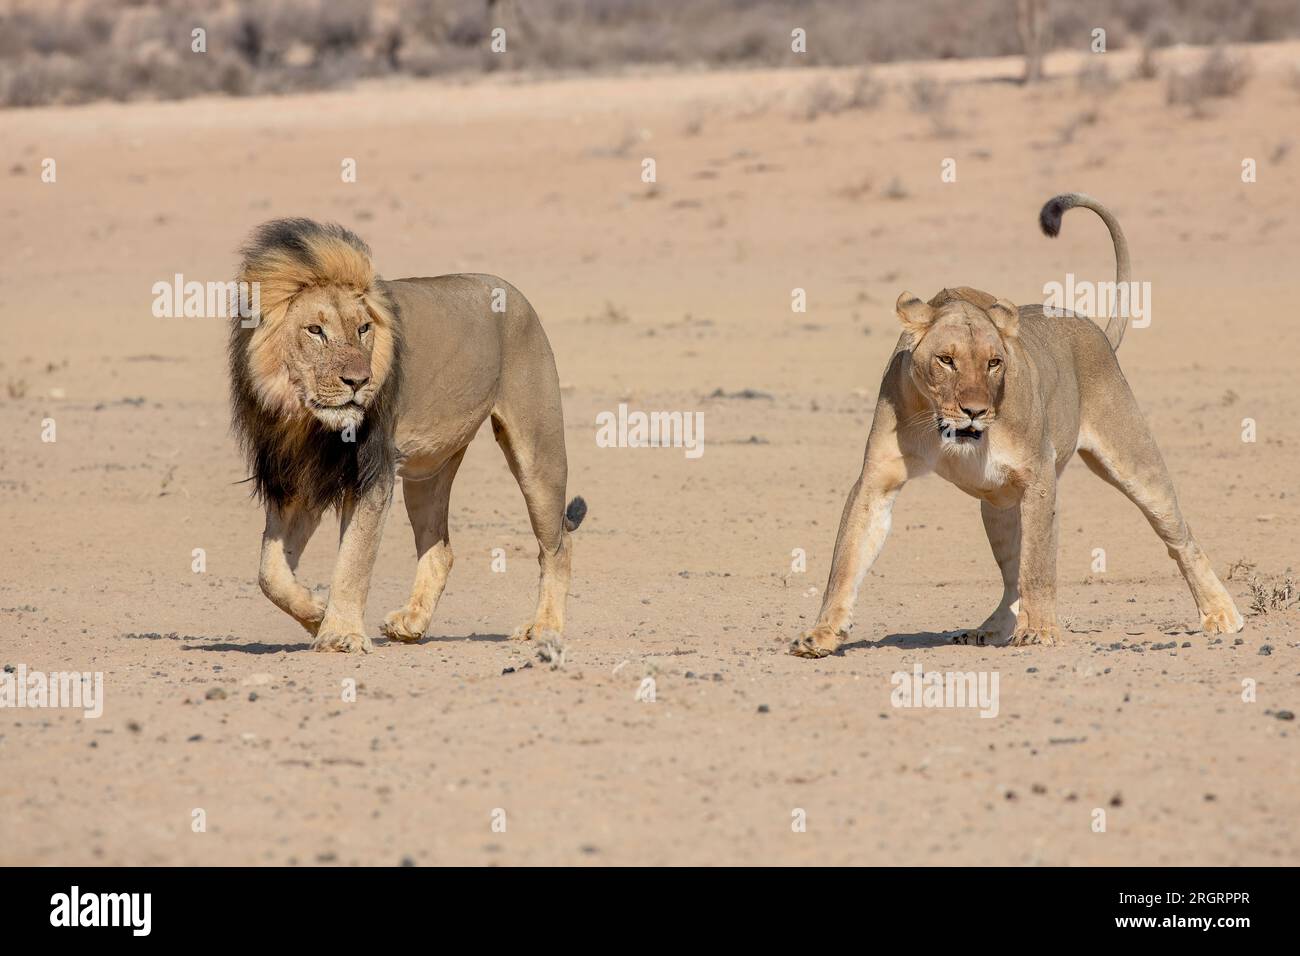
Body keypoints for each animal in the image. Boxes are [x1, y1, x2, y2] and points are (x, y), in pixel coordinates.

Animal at [228, 219, 585, 655]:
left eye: (363, 328)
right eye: (315, 331)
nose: (358, 381)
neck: (306, 420)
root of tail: (510, 290)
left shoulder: (372, 474)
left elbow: (353, 558)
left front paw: (340, 633)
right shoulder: (297, 478)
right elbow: (269, 572)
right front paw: (315, 612)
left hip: (538, 454)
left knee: (558, 545)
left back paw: (545, 626)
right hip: (426, 474)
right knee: (441, 550)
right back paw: (411, 623)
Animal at [785, 195, 1242, 658]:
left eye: (994, 362)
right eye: (946, 360)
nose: (974, 411)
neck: (941, 426)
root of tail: (1094, 327)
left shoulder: (1038, 475)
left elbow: (1039, 563)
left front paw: (1040, 631)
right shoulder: (877, 479)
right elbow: (847, 558)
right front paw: (821, 634)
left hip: (1133, 462)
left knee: (1180, 537)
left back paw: (1221, 614)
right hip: (998, 503)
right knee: (1010, 577)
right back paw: (989, 629)